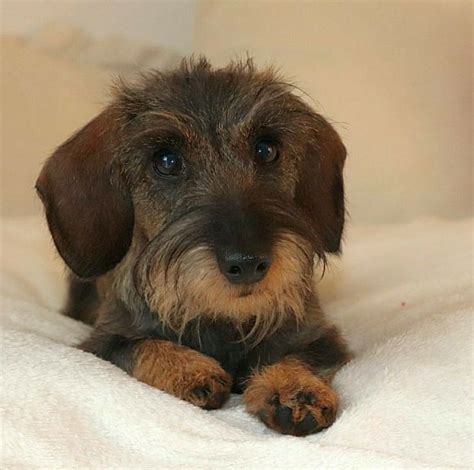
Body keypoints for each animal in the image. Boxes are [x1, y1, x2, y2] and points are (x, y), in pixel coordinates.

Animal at [36, 58, 348, 436]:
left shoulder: (321, 337)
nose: (248, 263)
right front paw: (189, 370)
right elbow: (142, 346)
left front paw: (297, 389)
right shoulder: (103, 342)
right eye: (166, 161)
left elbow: (302, 356)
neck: (224, 317)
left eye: (266, 149)